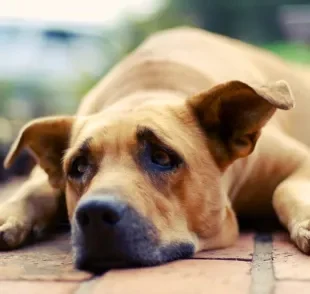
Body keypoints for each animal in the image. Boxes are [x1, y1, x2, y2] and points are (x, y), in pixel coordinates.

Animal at [0, 27, 310, 274]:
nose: (95, 214)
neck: (147, 89)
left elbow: (283, 190)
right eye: (78, 167)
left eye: (162, 157)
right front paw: (8, 215)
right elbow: (34, 189)